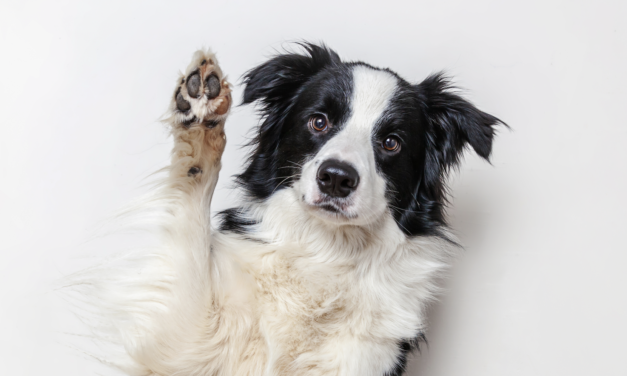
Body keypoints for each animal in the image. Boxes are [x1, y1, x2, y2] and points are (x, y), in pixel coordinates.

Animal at [82, 42, 506, 374]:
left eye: (391, 142)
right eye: (319, 121)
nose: (336, 178)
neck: (325, 251)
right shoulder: (187, 342)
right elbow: (189, 218)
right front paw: (201, 114)